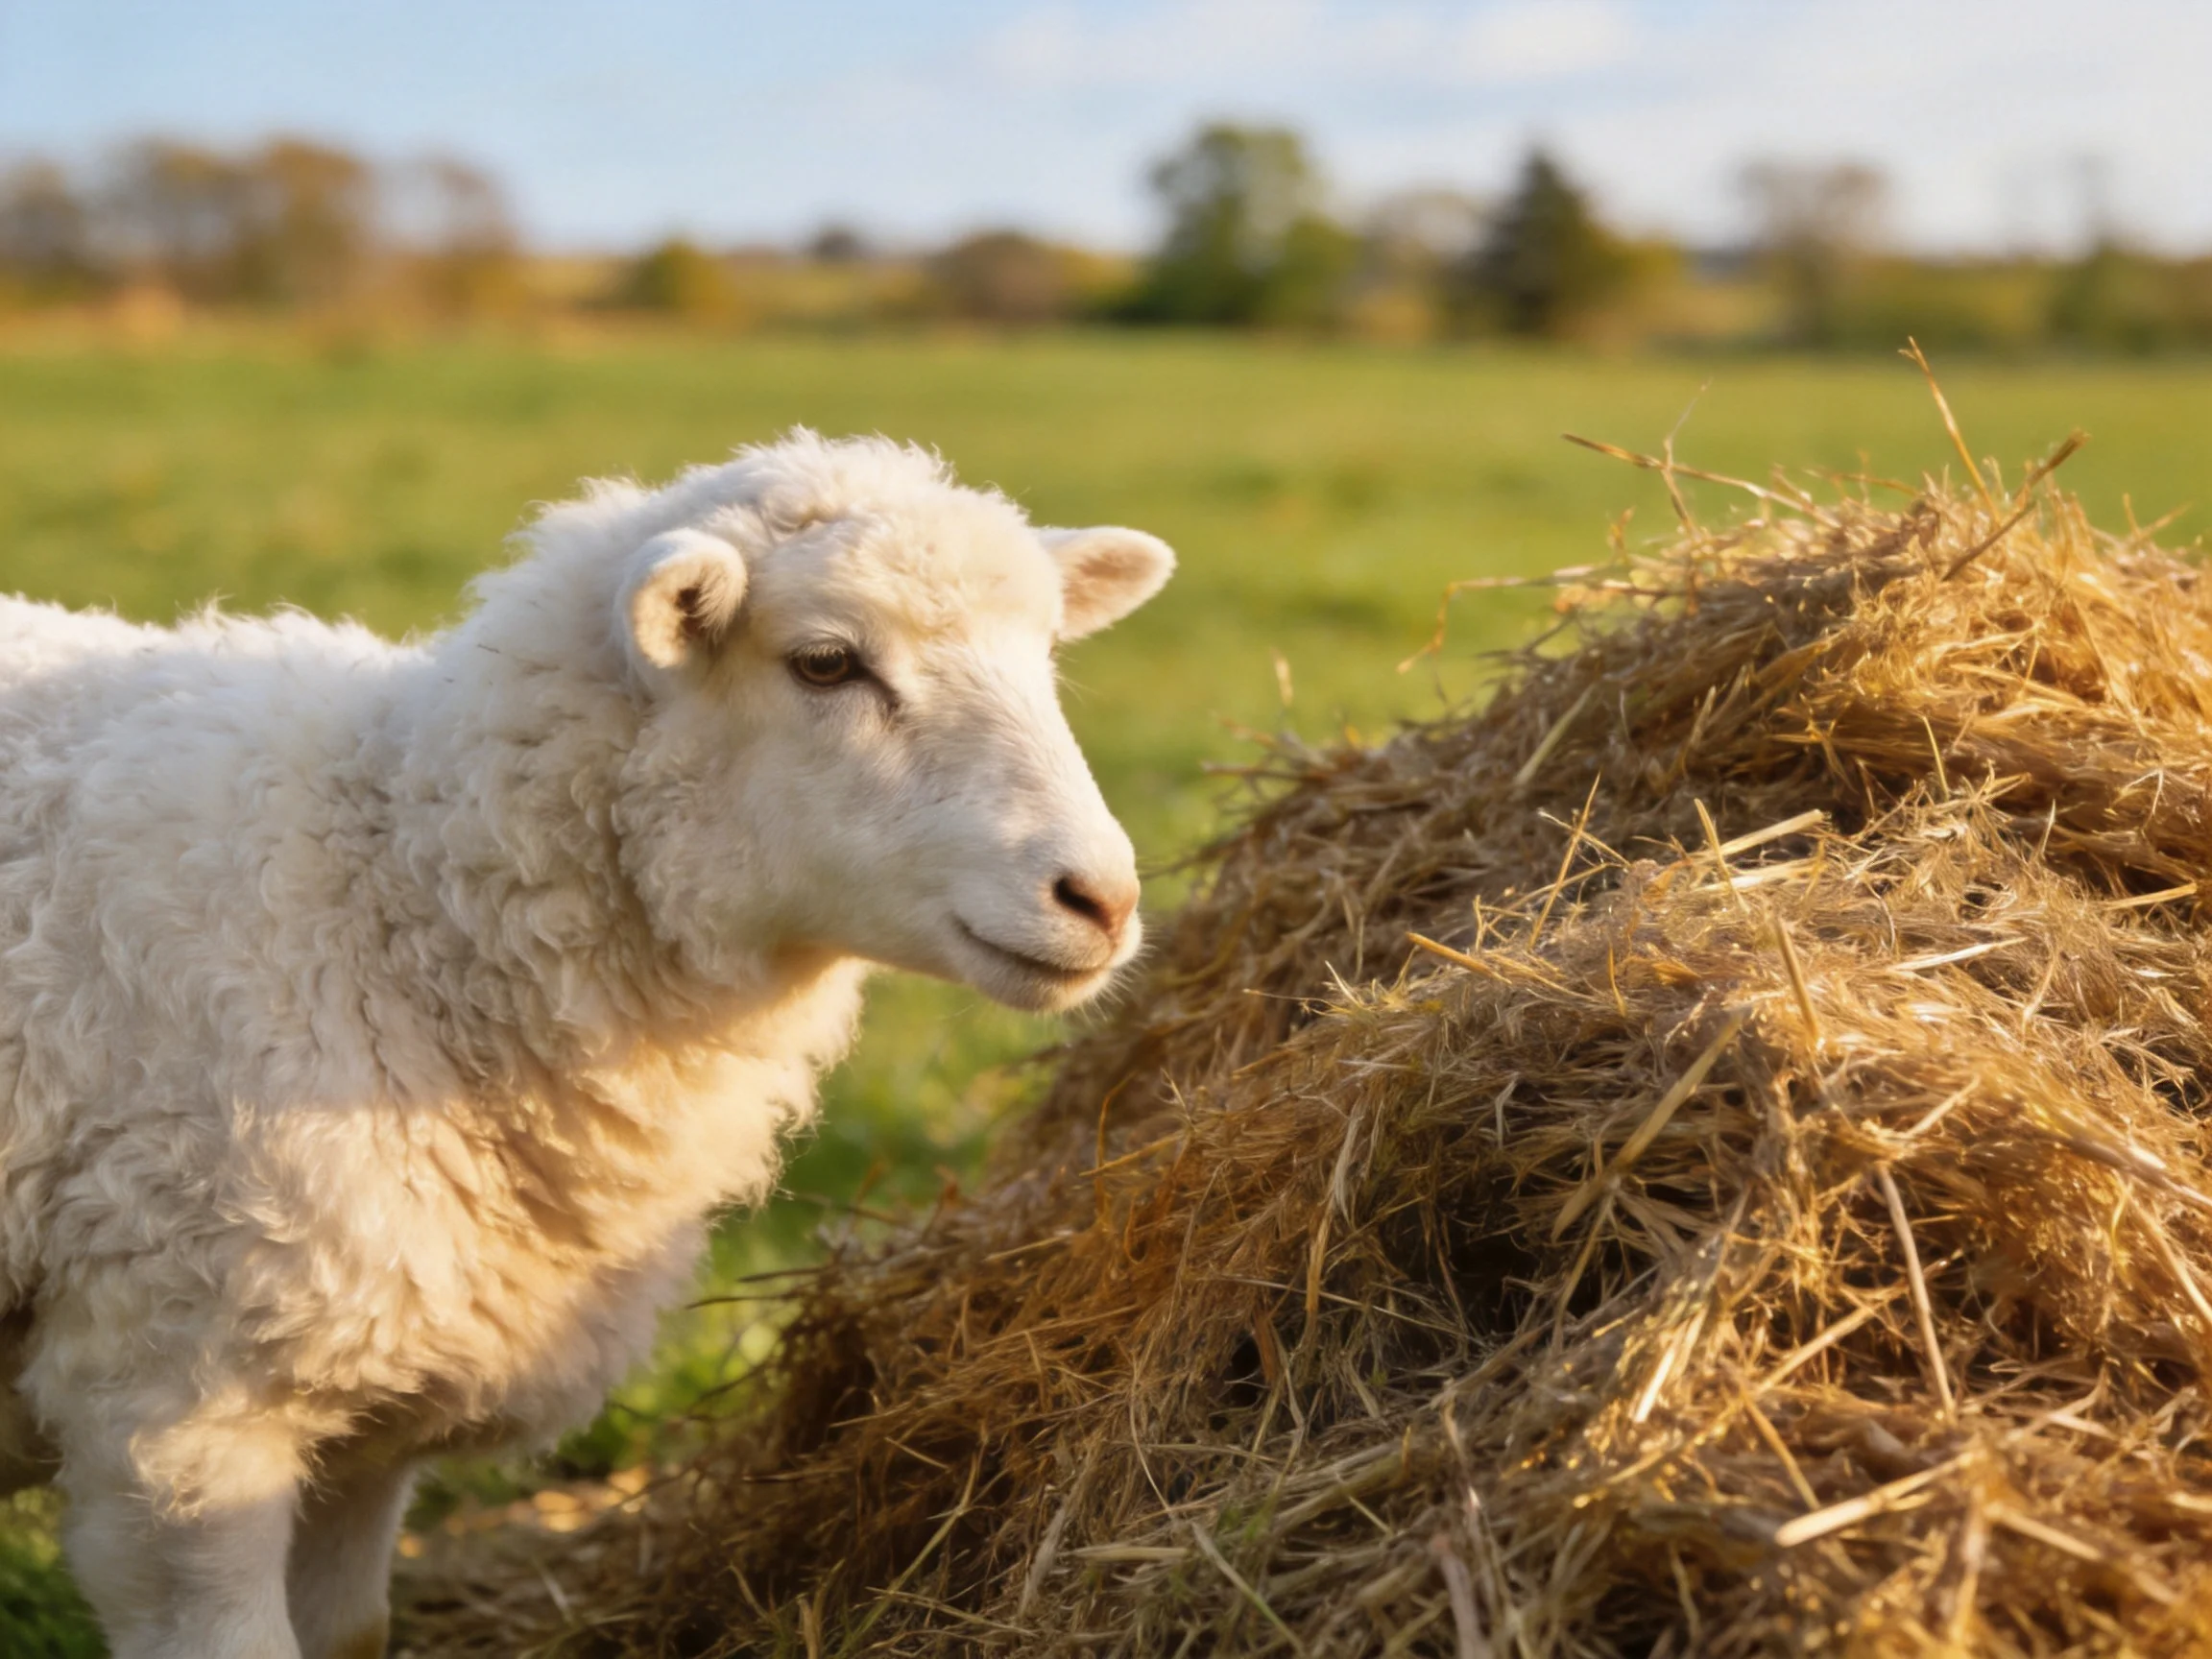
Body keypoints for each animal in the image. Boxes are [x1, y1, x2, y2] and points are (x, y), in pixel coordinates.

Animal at [0, 430, 1174, 1659]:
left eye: (1046, 654)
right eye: (826, 663)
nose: (1101, 898)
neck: (400, 907)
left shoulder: (367, 1422)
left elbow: (352, 1630)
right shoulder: (178, 1409)